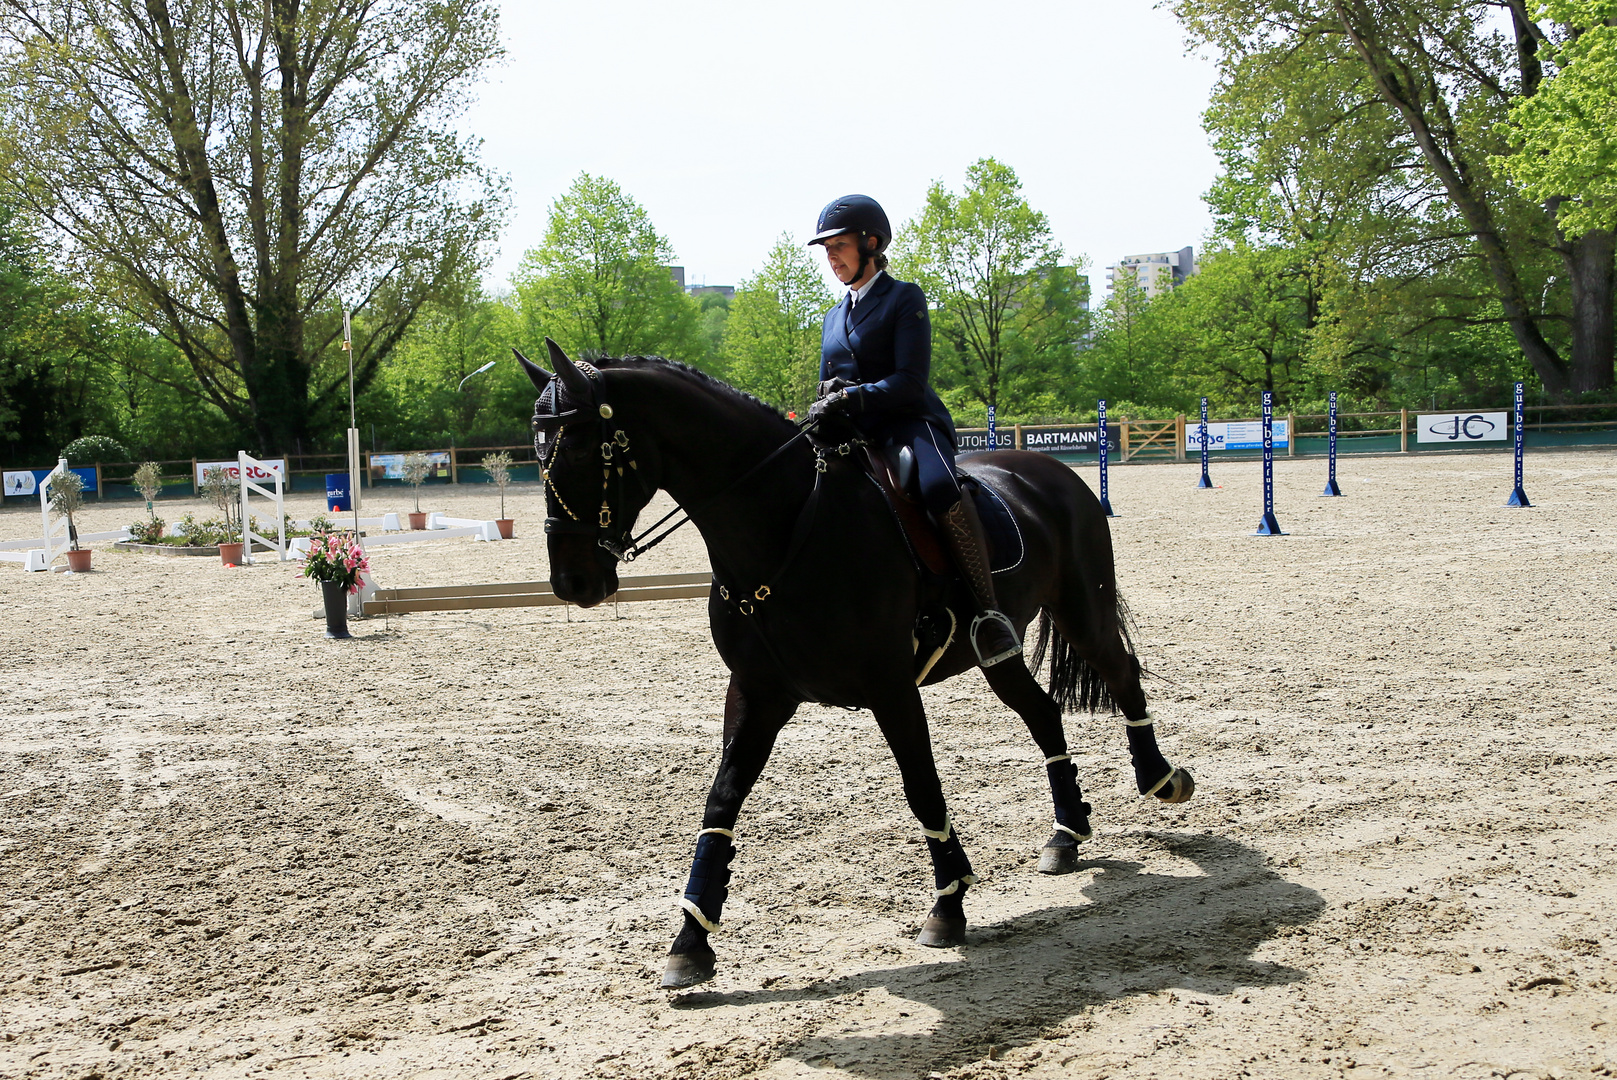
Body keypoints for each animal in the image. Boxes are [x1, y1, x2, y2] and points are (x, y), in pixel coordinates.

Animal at [517, 341, 1190, 989]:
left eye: (582, 450)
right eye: (538, 450)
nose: (573, 582)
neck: (786, 529)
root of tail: (1054, 471)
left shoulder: (891, 688)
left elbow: (922, 788)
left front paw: (948, 905)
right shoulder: (758, 693)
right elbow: (721, 803)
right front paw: (690, 942)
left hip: (1081, 609)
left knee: (1122, 672)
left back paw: (1161, 780)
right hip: (996, 650)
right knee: (1043, 712)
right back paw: (1066, 834)